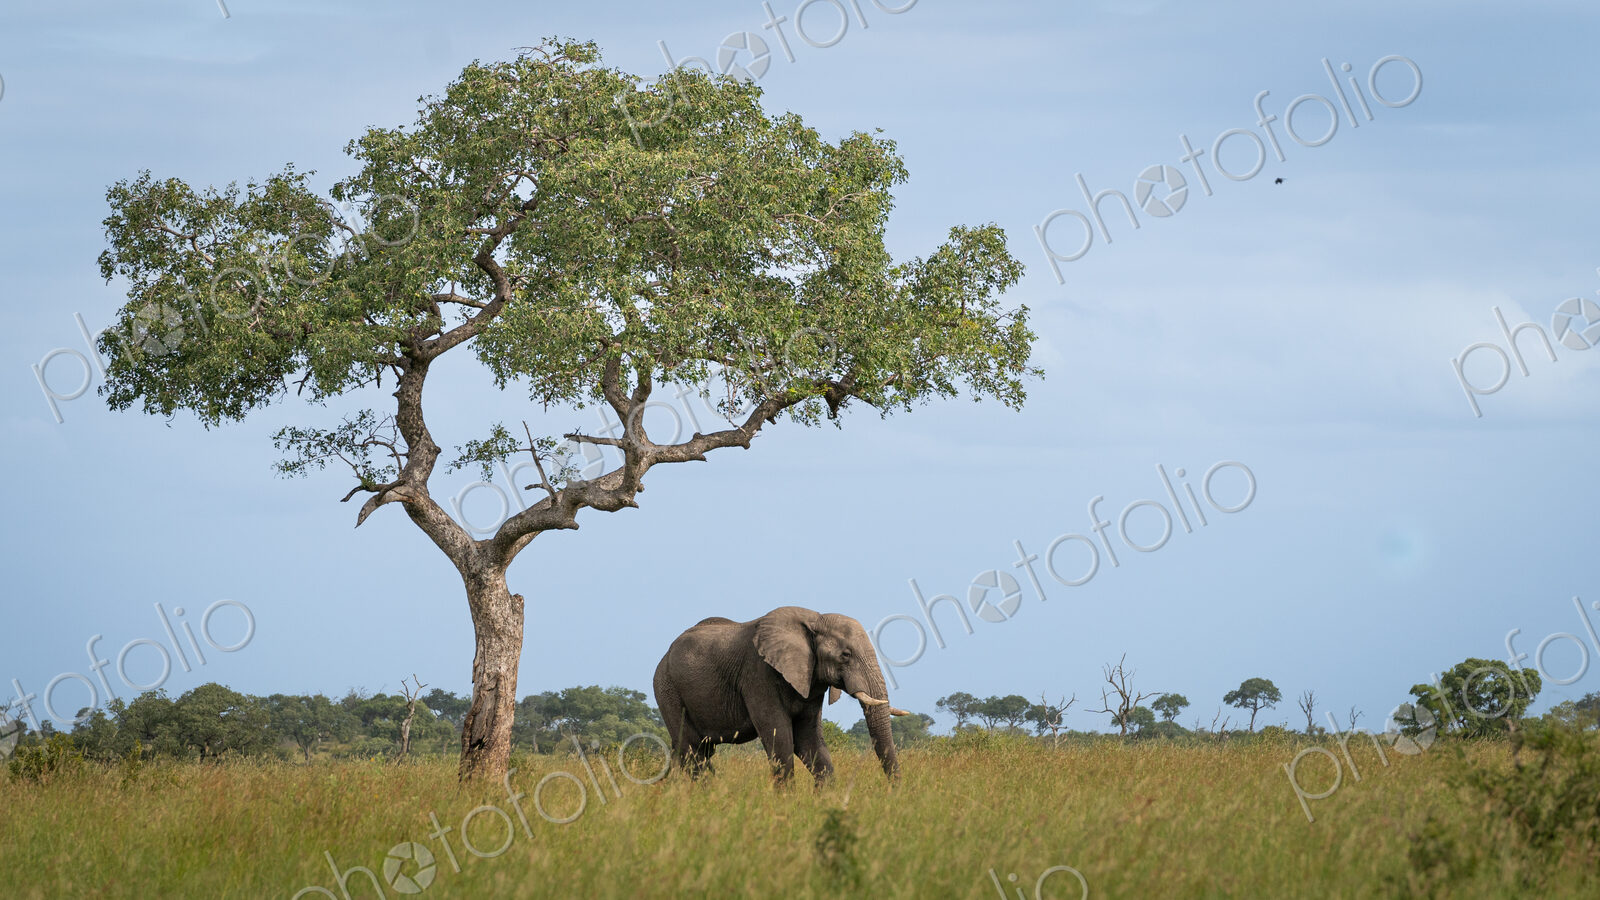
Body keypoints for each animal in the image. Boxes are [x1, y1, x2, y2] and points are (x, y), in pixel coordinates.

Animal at [653, 606, 910, 785]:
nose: (893, 792)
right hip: (667, 689)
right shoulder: (758, 675)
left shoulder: (810, 682)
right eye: (846, 655)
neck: (814, 619)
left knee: (700, 751)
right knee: (691, 750)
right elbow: (780, 740)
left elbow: (809, 740)